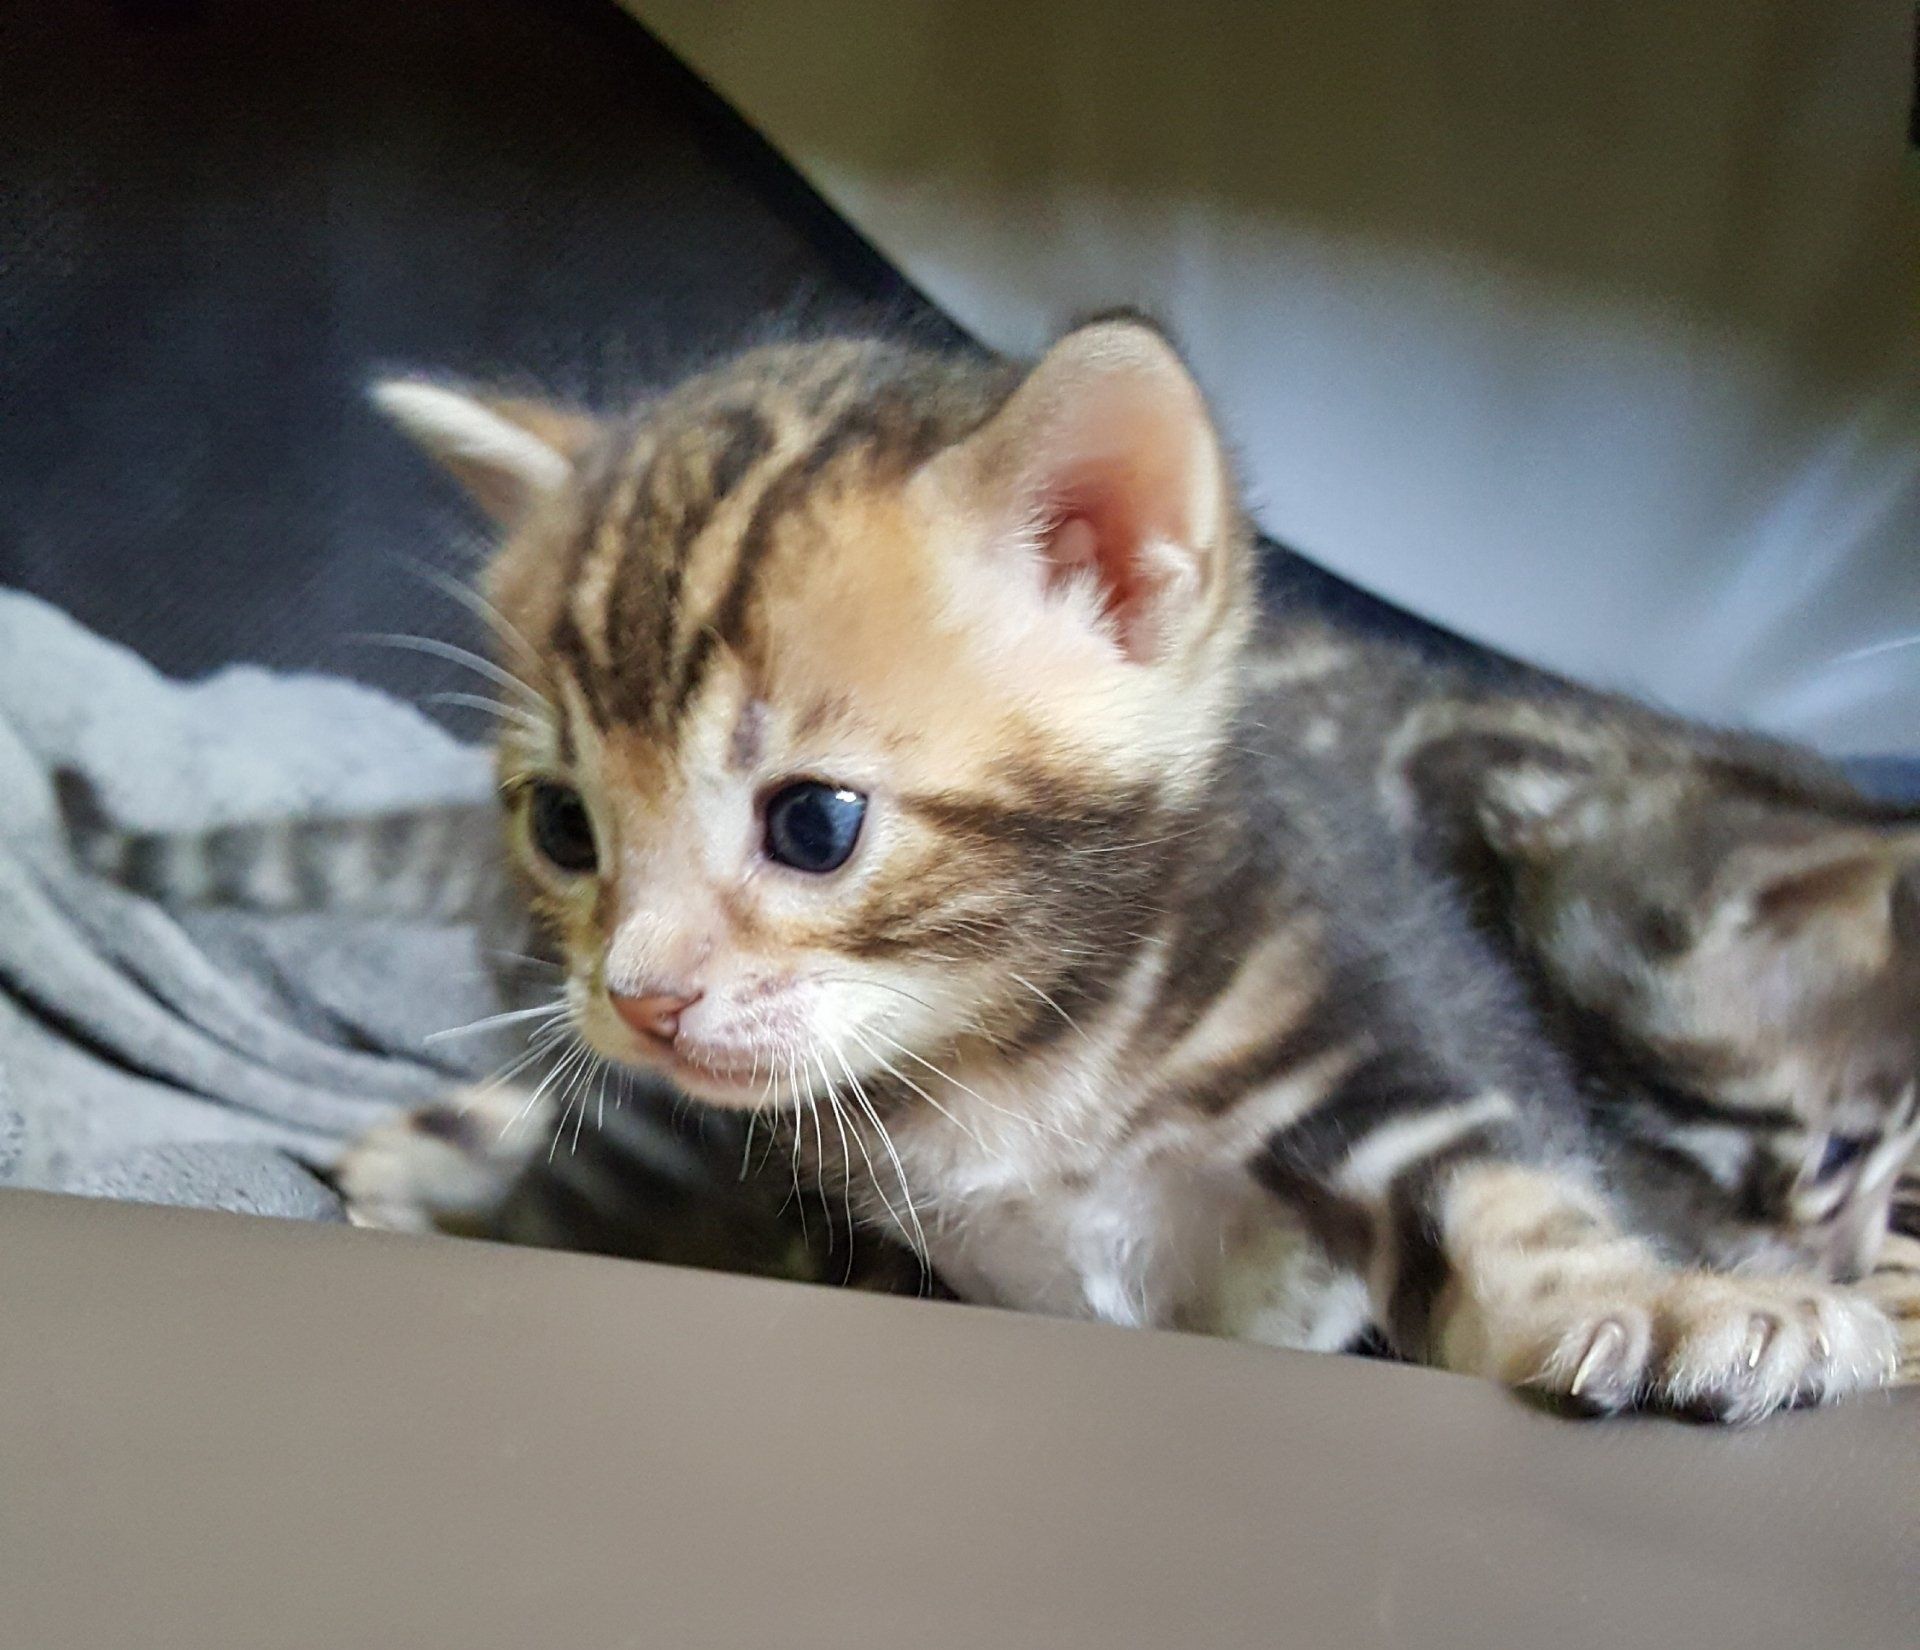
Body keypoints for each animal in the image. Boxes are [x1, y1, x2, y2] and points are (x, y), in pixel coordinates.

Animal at [328, 317, 1917, 1420]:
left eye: (815, 826)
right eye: (563, 826)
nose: (639, 999)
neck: (1008, 1045)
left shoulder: (1349, 1000)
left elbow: (1500, 1198)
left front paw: (1683, 1307)